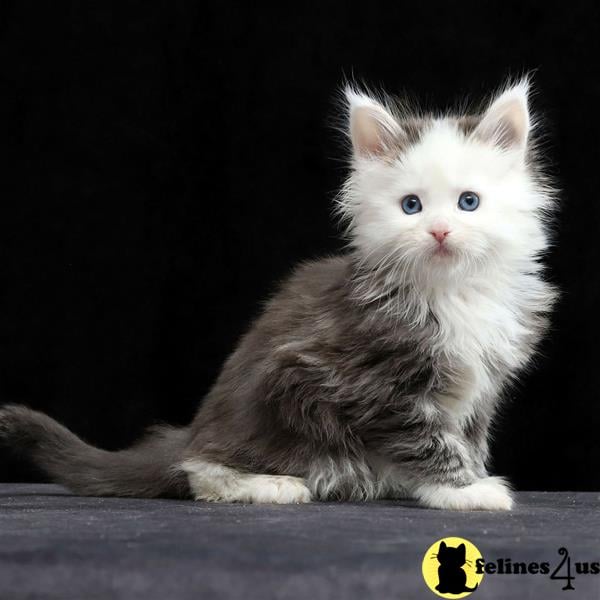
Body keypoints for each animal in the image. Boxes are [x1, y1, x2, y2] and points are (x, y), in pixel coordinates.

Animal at [0, 79, 556, 510]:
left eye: (469, 203)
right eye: (411, 206)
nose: (439, 232)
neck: (451, 290)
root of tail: (196, 429)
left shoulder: (481, 385)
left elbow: (469, 436)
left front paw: (473, 476)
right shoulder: (376, 384)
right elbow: (428, 439)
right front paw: (462, 490)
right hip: (278, 400)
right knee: (199, 468)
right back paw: (270, 484)